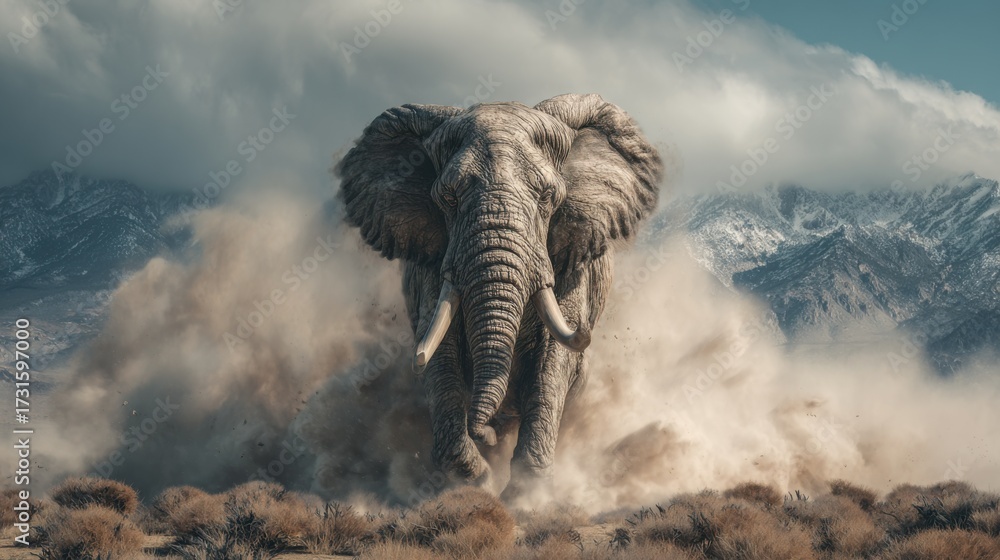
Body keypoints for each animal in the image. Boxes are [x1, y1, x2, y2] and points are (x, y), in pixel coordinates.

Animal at [335, 93, 663, 496]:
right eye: (448, 198)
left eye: (547, 197)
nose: (485, 432)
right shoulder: (435, 260)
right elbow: (437, 348)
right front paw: (477, 480)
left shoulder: (573, 257)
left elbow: (554, 357)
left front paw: (524, 492)